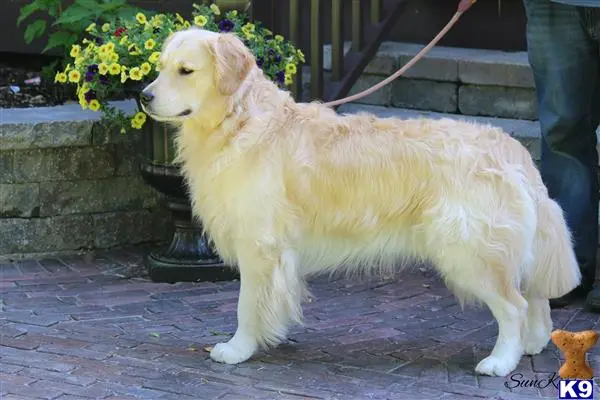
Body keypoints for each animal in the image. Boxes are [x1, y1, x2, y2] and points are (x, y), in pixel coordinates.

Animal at [139, 28, 580, 378]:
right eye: (160, 66)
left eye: (186, 70)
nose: (142, 96)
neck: (240, 120)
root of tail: (511, 148)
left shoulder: (260, 245)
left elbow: (246, 305)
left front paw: (237, 349)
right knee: (535, 294)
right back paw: (533, 343)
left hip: (469, 250)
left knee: (514, 304)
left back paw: (501, 361)